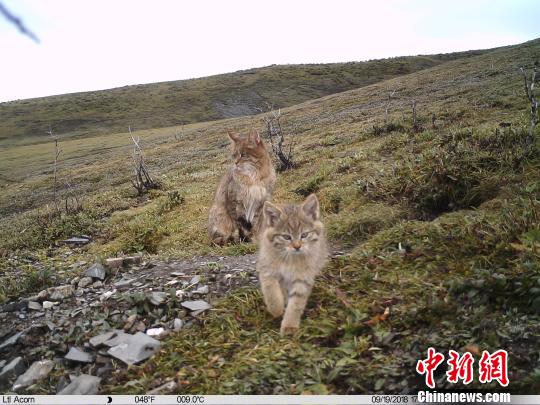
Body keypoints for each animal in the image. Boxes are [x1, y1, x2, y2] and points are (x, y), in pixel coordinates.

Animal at [258, 193, 330, 334]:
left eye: (304, 235)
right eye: (286, 237)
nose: (297, 247)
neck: (290, 259)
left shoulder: (303, 278)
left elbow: (296, 303)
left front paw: (289, 326)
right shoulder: (267, 268)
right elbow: (270, 290)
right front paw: (276, 308)